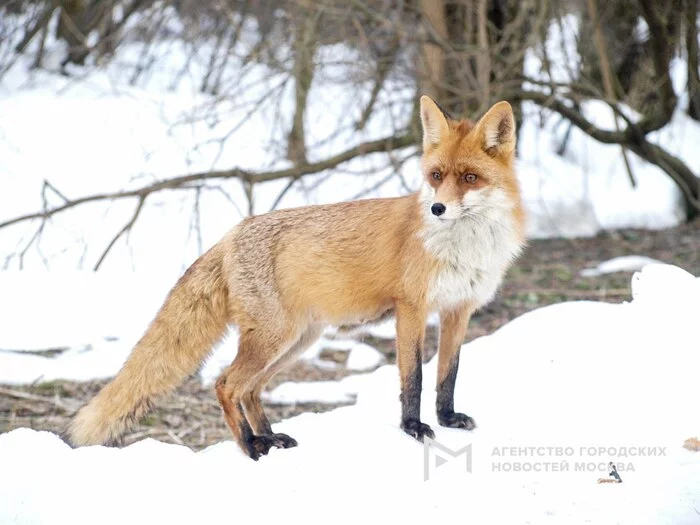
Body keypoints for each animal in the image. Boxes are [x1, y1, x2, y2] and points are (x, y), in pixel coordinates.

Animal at [67, 97, 524, 458]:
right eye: (435, 176)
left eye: (469, 178)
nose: (437, 209)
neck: (463, 249)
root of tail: (231, 233)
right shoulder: (411, 309)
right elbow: (414, 378)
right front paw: (413, 429)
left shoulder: (458, 310)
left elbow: (448, 374)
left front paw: (447, 419)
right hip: (275, 339)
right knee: (226, 385)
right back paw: (250, 447)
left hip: (295, 342)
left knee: (249, 390)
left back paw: (270, 438)